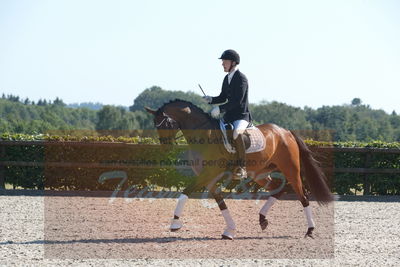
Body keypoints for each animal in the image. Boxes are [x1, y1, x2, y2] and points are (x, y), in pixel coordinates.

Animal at [145, 99, 332, 241]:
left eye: (165, 123)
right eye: (155, 124)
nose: (166, 148)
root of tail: (286, 132)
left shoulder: (207, 174)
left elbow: (185, 192)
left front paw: (175, 223)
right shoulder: (208, 178)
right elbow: (221, 203)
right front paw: (230, 231)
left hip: (290, 169)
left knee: (303, 195)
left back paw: (310, 230)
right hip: (260, 173)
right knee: (278, 188)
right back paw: (262, 219)